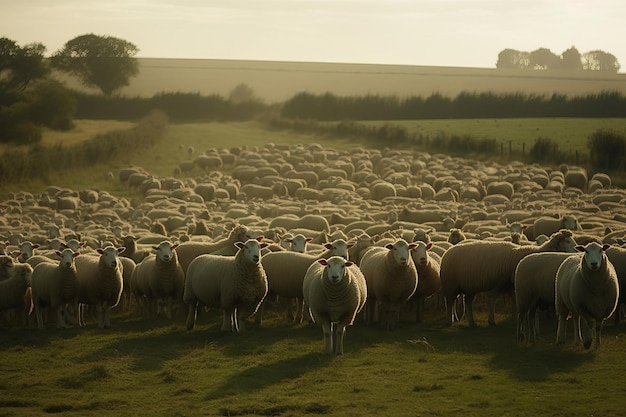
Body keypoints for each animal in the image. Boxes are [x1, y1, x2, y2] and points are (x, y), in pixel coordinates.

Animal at [438, 229, 576, 326]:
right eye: (568, 241)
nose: (577, 250)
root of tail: (448, 252)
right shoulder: (500, 281)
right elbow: (493, 299)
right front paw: (492, 320)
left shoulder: (512, 285)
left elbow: (515, 301)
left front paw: (516, 316)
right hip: (451, 284)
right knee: (449, 302)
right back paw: (449, 321)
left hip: (468, 287)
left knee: (467, 303)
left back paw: (471, 322)